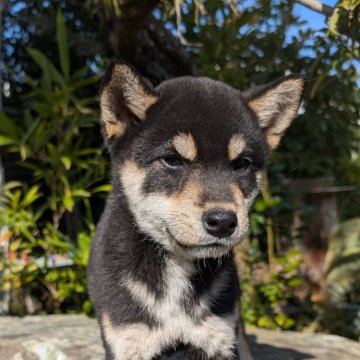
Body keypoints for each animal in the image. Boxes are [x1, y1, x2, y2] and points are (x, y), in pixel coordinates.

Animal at [87, 62, 304, 360]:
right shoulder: (129, 339)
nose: (223, 221)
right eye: (172, 160)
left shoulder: (217, 338)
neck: (176, 266)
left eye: (241, 164)